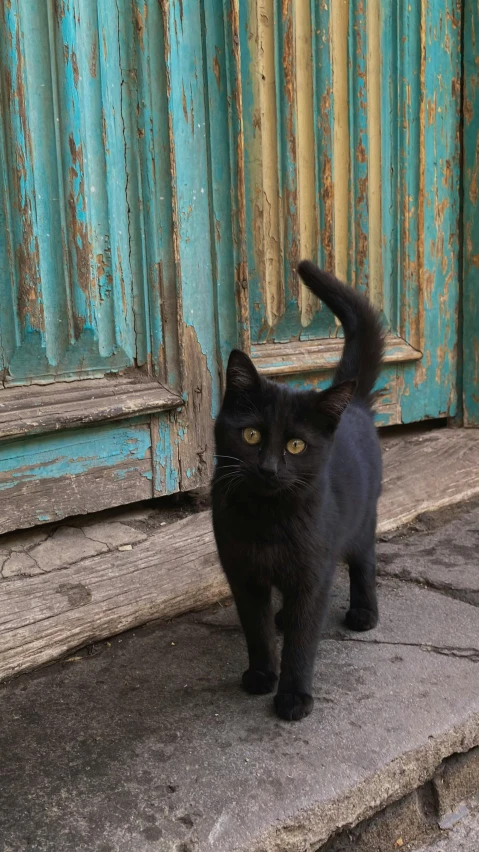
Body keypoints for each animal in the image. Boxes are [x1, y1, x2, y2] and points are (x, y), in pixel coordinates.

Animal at [212, 260, 384, 720]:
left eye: (295, 446)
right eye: (251, 435)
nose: (269, 468)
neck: (269, 517)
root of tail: (354, 403)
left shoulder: (313, 571)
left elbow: (304, 639)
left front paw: (293, 696)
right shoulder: (242, 573)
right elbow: (255, 628)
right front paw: (261, 674)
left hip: (363, 520)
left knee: (363, 562)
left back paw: (364, 612)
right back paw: (282, 618)